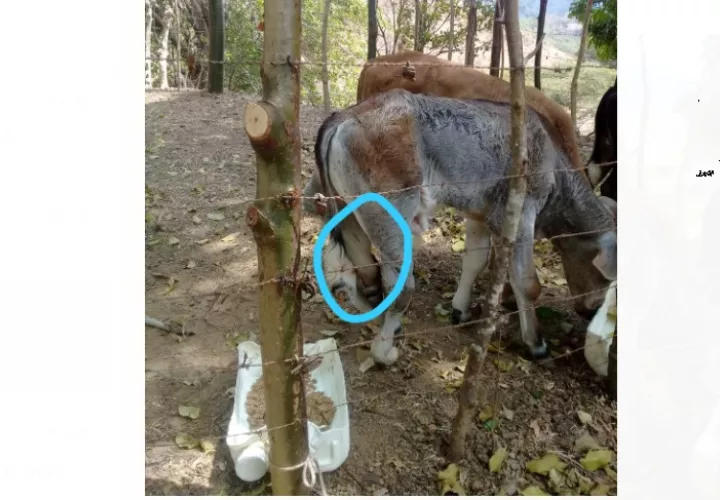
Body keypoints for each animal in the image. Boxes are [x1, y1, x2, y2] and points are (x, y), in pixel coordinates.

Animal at [304, 89, 617, 365]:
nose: (590, 311)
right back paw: (384, 350)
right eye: (604, 278)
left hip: (349, 212)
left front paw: (460, 309)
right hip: (390, 213)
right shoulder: (520, 215)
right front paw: (536, 343)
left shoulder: (480, 215)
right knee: (399, 285)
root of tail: (347, 113)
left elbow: (474, 263)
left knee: (359, 269)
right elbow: (527, 284)